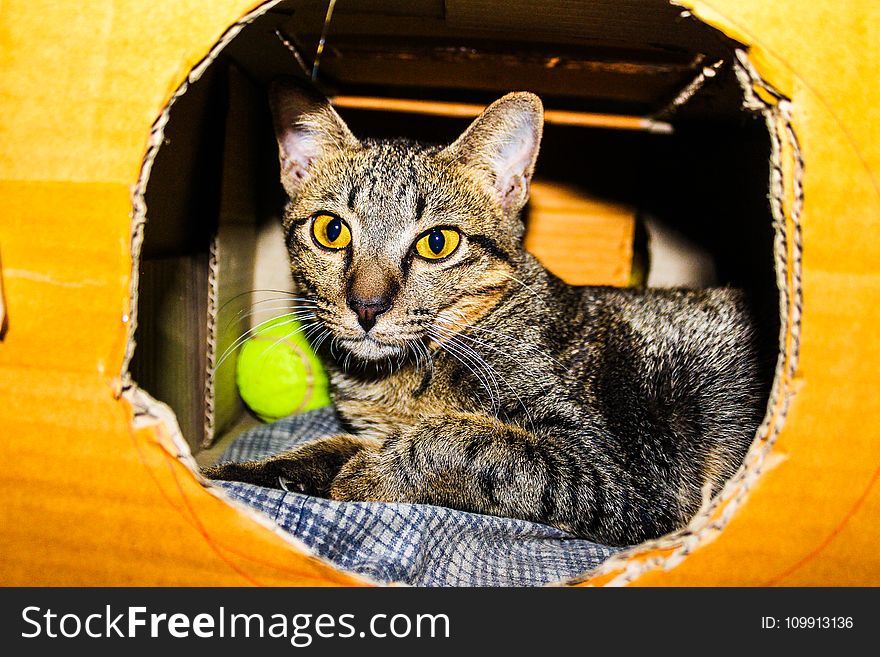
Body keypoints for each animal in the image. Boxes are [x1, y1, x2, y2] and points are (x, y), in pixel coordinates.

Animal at [205, 80, 768, 544]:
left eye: (437, 242)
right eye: (330, 231)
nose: (366, 306)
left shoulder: (618, 472)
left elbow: (471, 441)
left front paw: (375, 473)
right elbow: (324, 447)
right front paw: (229, 475)